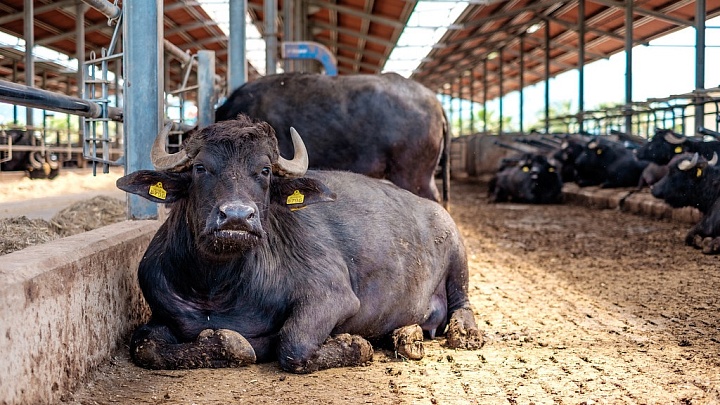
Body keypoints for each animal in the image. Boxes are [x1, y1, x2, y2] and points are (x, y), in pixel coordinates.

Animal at [116, 115, 482, 373]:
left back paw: (464, 334)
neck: (216, 288)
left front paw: (356, 346)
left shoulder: (333, 295)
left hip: (457, 254)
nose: (236, 217)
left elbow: (294, 345)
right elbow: (144, 346)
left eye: (264, 170)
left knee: (462, 302)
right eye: (199, 167)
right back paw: (407, 336)